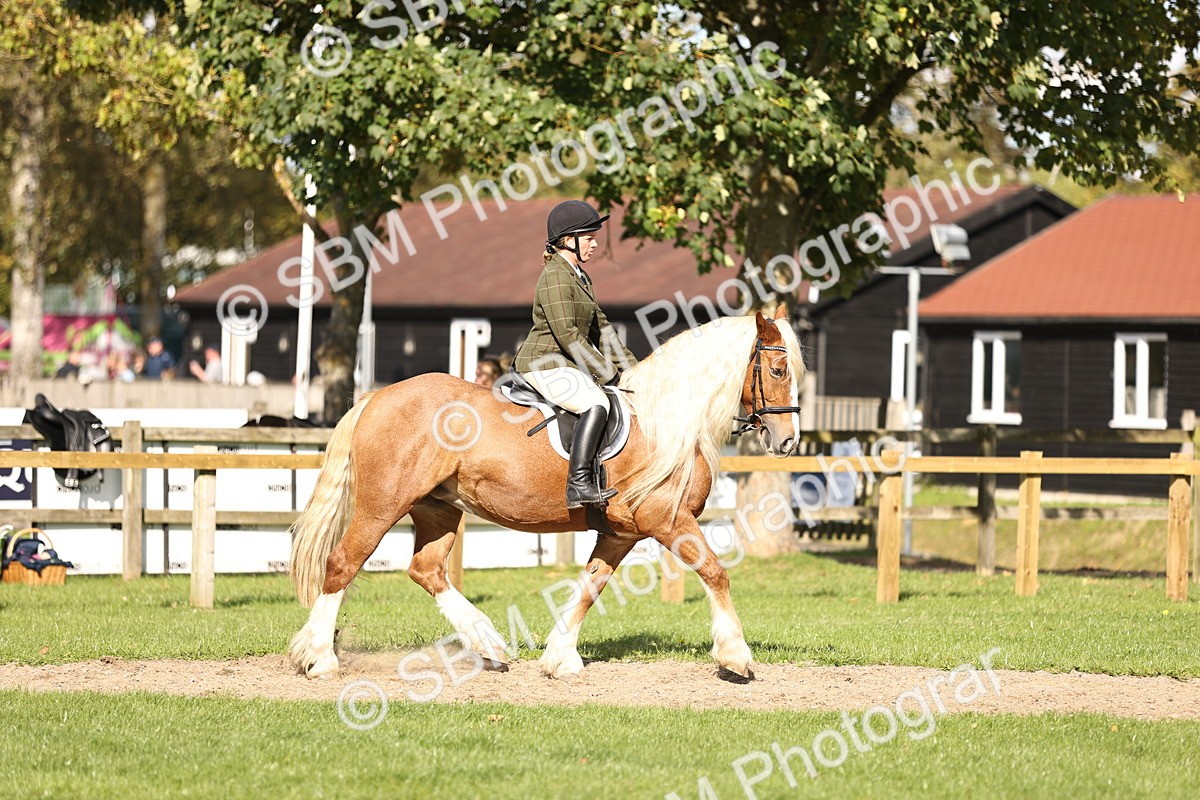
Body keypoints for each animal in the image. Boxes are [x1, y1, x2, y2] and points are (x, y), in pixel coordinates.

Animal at [288, 305, 804, 680]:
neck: (666, 422)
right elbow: (715, 573)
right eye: (779, 370)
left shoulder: (621, 533)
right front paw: (736, 656)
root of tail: (377, 396)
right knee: (342, 564)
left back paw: (489, 644)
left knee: (426, 570)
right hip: (382, 507)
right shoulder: (668, 520)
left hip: (437, 508)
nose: (788, 441)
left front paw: (560, 659)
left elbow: (590, 587)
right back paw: (321, 659)